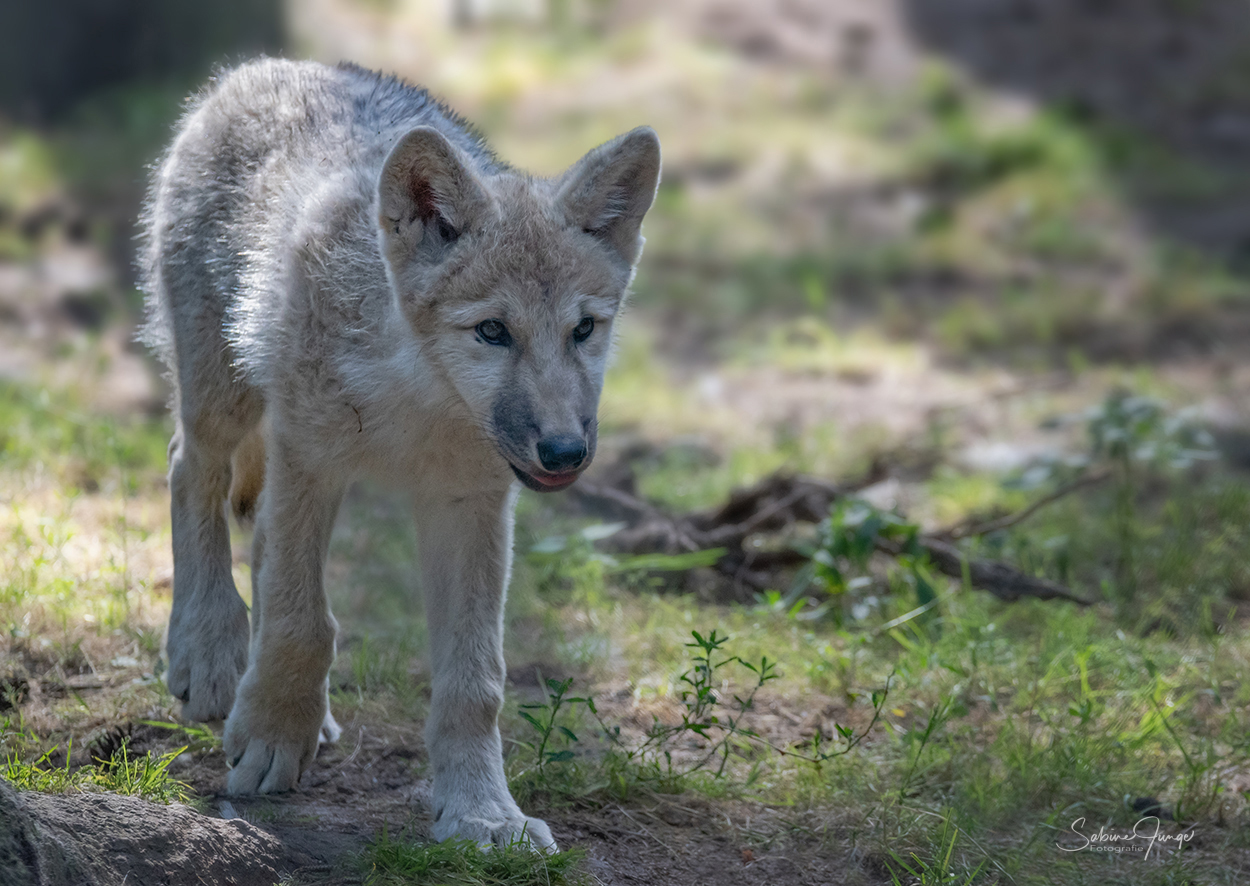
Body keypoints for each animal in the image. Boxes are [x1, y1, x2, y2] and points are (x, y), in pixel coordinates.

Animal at [140, 58, 660, 844]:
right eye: (492, 332)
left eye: (584, 330)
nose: (565, 451)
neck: (418, 402)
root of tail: (261, 68)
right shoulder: (308, 460)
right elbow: (302, 621)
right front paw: (270, 738)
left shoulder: (469, 503)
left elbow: (476, 680)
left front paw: (484, 814)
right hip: (221, 401)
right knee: (187, 469)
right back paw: (208, 656)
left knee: (251, 539)